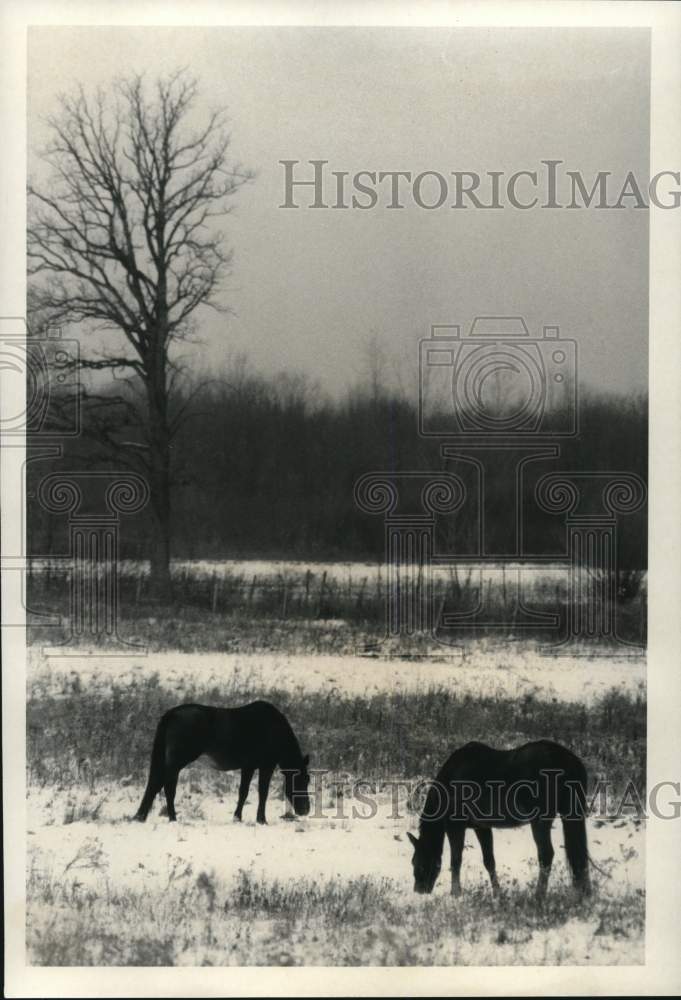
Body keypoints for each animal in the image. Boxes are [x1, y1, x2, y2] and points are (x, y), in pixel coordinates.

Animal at [135, 700, 311, 824]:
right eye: (301, 779)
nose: (306, 810)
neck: (274, 729)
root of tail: (171, 714)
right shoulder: (265, 766)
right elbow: (262, 792)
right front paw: (261, 820)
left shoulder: (248, 767)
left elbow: (243, 792)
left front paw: (237, 818)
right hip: (177, 762)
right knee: (165, 786)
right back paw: (170, 818)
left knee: (158, 785)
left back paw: (143, 816)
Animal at [407, 740, 591, 899]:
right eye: (413, 862)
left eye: (419, 862)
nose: (419, 891)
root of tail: (569, 761)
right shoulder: (481, 827)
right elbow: (489, 861)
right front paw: (497, 893)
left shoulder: (455, 825)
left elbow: (455, 860)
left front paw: (456, 893)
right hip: (570, 814)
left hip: (541, 820)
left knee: (546, 855)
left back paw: (538, 895)